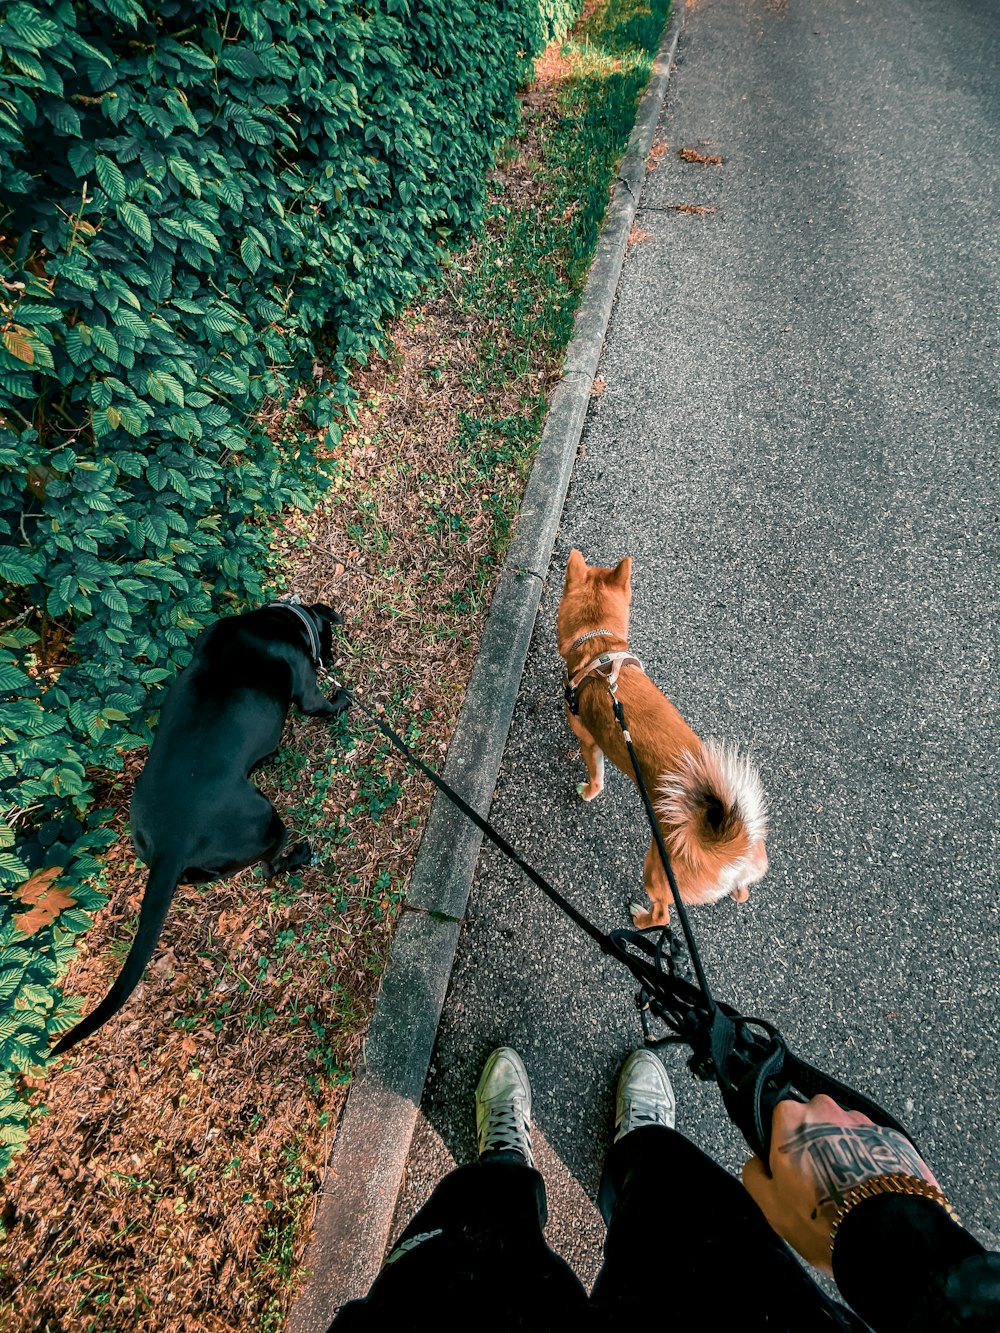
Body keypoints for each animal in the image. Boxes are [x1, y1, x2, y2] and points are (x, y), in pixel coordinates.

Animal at [52, 602, 349, 1050]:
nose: (331, 660)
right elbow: (324, 705)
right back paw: (299, 855)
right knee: (269, 867)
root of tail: (172, 844)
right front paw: (344, 698)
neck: (281, 622)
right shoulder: (309, 694)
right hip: (266, 820)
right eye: (328, 642)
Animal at [557, 551, 768, 927]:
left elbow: (596, 779)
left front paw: (587, 792)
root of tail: (733, 852)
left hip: (656, 869)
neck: (599, 650)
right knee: (740, 894)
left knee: (662, 915)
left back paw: (640, 919)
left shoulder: (589, 742)